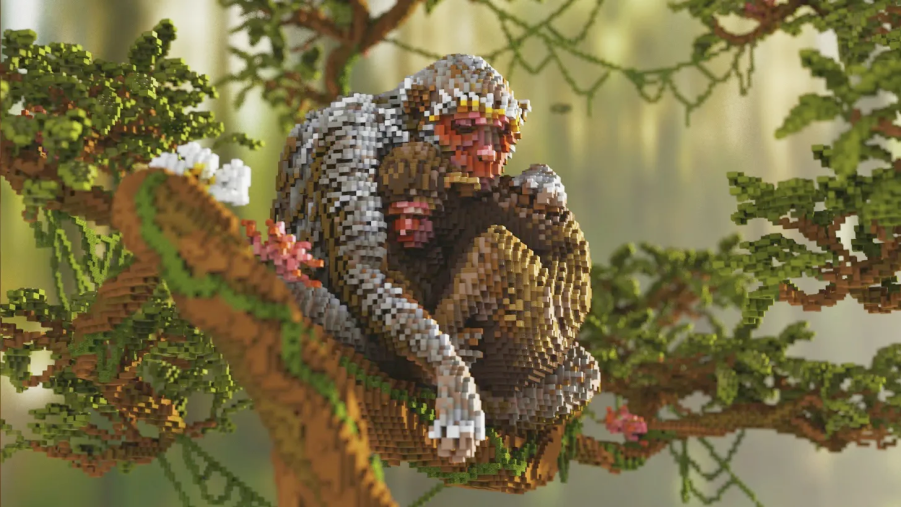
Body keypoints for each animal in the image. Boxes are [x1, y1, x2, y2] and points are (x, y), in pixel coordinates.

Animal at [270, 55, 600, 461]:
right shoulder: (352, 134)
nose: (487, 156)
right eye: (464, 126)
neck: (397, 128)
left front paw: (542, 181)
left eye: (500, 132)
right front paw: (451, 372)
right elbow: (363, 266)